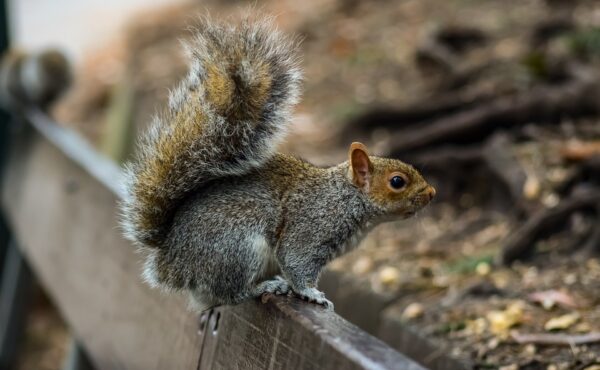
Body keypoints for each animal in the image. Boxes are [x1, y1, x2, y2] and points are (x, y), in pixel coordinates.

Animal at [119, 18, 434, 312]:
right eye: (397, 181)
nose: (432, 193)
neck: (345, 198)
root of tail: (171, 261)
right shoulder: (312, 226)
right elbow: (296, 260)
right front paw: (312, 294)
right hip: (237, 249)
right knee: (231, 293)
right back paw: (265, 287)